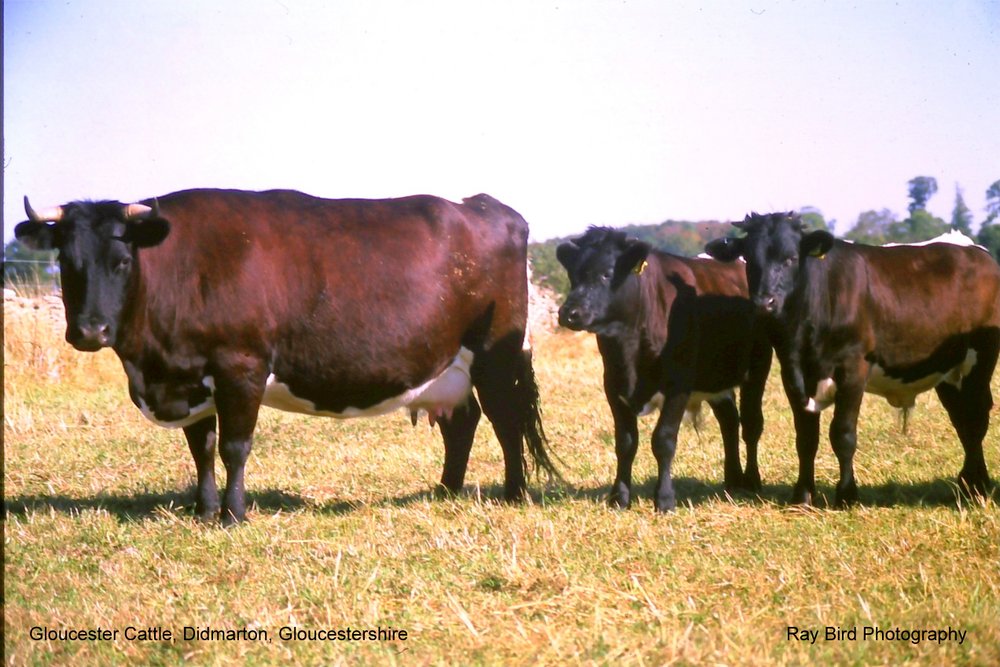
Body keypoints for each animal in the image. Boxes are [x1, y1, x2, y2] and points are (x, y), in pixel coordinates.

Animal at [15, 189, 559, 525]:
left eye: (122, 261)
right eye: (66, 261)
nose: (90, 331)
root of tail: (489, 207)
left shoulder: (241, 366)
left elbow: (234, 447)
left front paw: (232, 516)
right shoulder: (190, 376)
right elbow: (201, 449)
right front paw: (203, 510)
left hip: (495, 355)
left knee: (506, 420)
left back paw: (513, 494)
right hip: (448, 367)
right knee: (462, 423)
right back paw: (445, 491)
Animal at [556, 227, 772, 512]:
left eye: (607, 273)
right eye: (573, 275)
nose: (569, 312)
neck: (628, 346)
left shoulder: (678, 385)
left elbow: (664, 440)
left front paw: (665, 499)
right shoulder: (613, 386)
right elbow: (625, 443)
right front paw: (619, 497)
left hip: (758, 366)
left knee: (751, 424)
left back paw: (753, 481)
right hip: (714, 379)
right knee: (729, 421)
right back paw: (733, 479)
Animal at [705, 212, 1000, 506]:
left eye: (790, 257)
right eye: (748, 258)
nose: (764, 303)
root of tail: (972, 249)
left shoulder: (853, 369)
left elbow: (843, 434)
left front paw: (846, 494)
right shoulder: (792, 373)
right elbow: (806, 438)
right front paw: (803, 494)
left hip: (981, 360)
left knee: (976, 418)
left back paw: (978, 486)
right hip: (949, 371)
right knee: (962, 418)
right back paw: (967, 482)